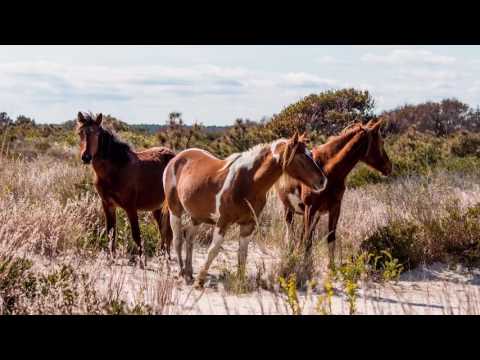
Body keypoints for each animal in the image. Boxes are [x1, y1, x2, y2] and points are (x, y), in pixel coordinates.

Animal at [77, 111, 176, 266]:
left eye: (97, 134)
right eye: (80, 133)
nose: (86, 157)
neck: (116, 169)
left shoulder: (130, 207)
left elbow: (136, 234)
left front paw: (142, 262)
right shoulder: (108, 205)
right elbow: (110, 232)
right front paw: (111, 259)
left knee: (169, 231)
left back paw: (166, 257)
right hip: (157, 206)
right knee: (163, 229)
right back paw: (162, 255)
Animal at [163, 132, 328, 286]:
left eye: (310, 154)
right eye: (301, 157)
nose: (323, 181)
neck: (248, 182)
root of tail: (176, 159)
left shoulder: (248, 225)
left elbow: (242, 255)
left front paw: (240, 282)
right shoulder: (223, 222)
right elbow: (213, 250)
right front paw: (200, 281)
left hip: (197, 217)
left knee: (189, 237)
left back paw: (189, 272)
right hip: (175, 211)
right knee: (178, 240)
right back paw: (182, 273)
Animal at [276, 119, 392, 268]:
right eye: (381, 142)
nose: (389, 167)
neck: (327, 169)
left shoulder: (334, 207)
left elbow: (330, 237)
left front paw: (331, 268)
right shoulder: (310, 208)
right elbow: (308, 239)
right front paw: (306, 266)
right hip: (289, 208)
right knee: (290, 232)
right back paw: (291, 255)